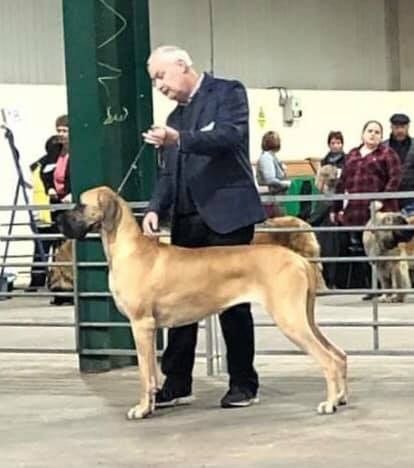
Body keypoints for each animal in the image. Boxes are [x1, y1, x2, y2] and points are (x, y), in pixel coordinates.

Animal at [58, 186, 347, 420]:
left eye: (80, 205)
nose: (58, 219)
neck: (129, 249)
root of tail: (299, 260)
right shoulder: (149, 329)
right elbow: (151, 372)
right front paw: (152, 404)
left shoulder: (141, 325)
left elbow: (144, 374)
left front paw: (141, 409)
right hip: (304, 317)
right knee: (338, 354)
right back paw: (341, 398)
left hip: (290, 319)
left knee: (327, 359)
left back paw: (329, 403)